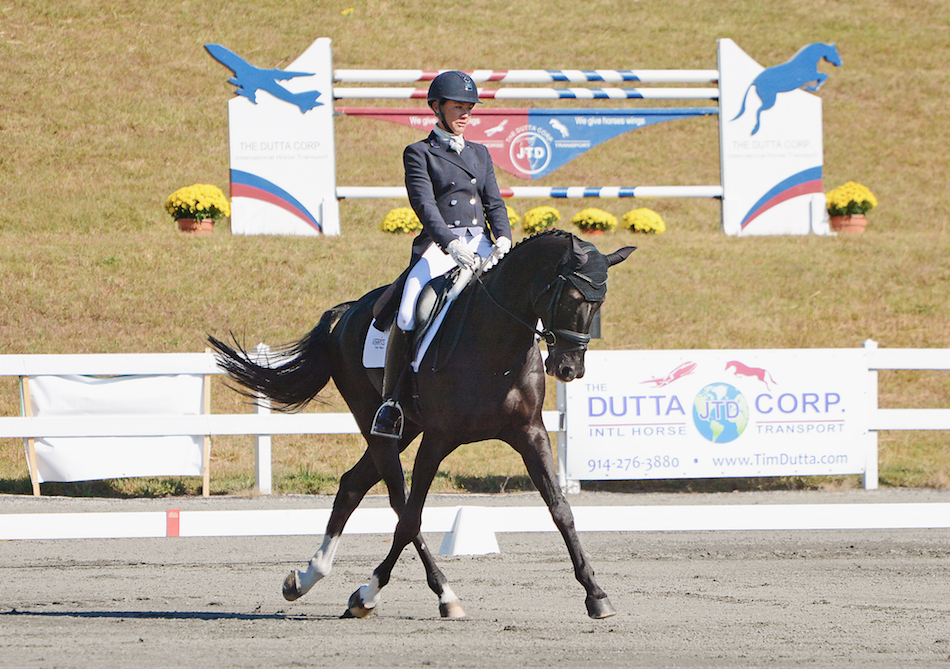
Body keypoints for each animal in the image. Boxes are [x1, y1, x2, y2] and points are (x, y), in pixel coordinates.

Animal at [211, 231, 636, 620]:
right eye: (572, 298)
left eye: (599, 303)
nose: (569, 369)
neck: (495, 341)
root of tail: (346, 313)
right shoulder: (438, 439)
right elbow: (410, 517)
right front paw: (369, 593)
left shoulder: (530, 433)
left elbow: (560, 509)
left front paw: (596, 595)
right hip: (378, 425)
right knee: (399, 503)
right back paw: (433, 593)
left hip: (405, 430)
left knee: (351, 485)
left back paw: (306, 577)